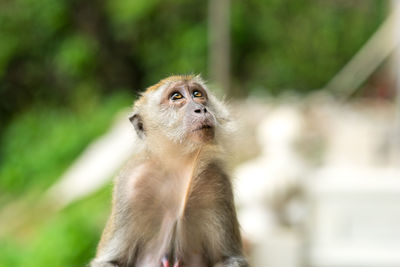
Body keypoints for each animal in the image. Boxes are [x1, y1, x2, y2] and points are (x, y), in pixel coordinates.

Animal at [90, 74, 247, 266]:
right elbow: (111, 260)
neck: (178, 168)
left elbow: (228, 258)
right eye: (177, 97)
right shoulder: (129, 183)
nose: (201, 109)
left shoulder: (218, 182)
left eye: (197, 94)